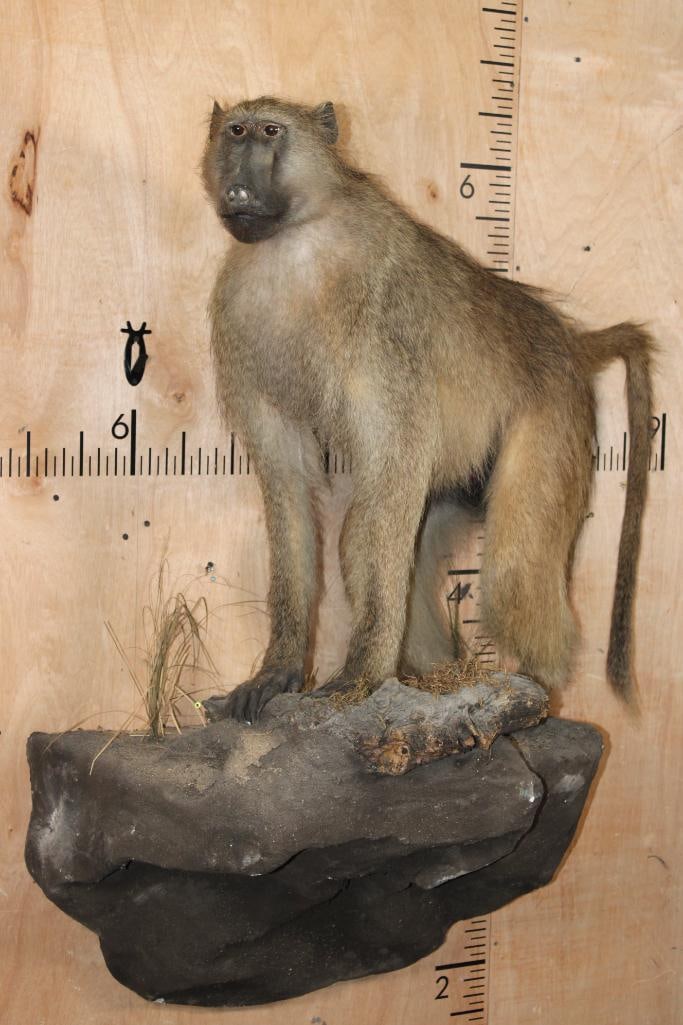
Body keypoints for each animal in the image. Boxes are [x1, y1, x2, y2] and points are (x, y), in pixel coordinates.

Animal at [200, 96, 653, 725]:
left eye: (270, 131)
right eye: (235, 131)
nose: (239, 184)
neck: (296, 241)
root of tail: (566, 340)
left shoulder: (381, 319)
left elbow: (393, 466)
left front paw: (361, 676)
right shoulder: (240, 322)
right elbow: (288, 483)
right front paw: (279, 672)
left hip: (555, 414)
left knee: (509, 569)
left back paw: (533, 695)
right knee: (373, 540)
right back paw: (440, 677)